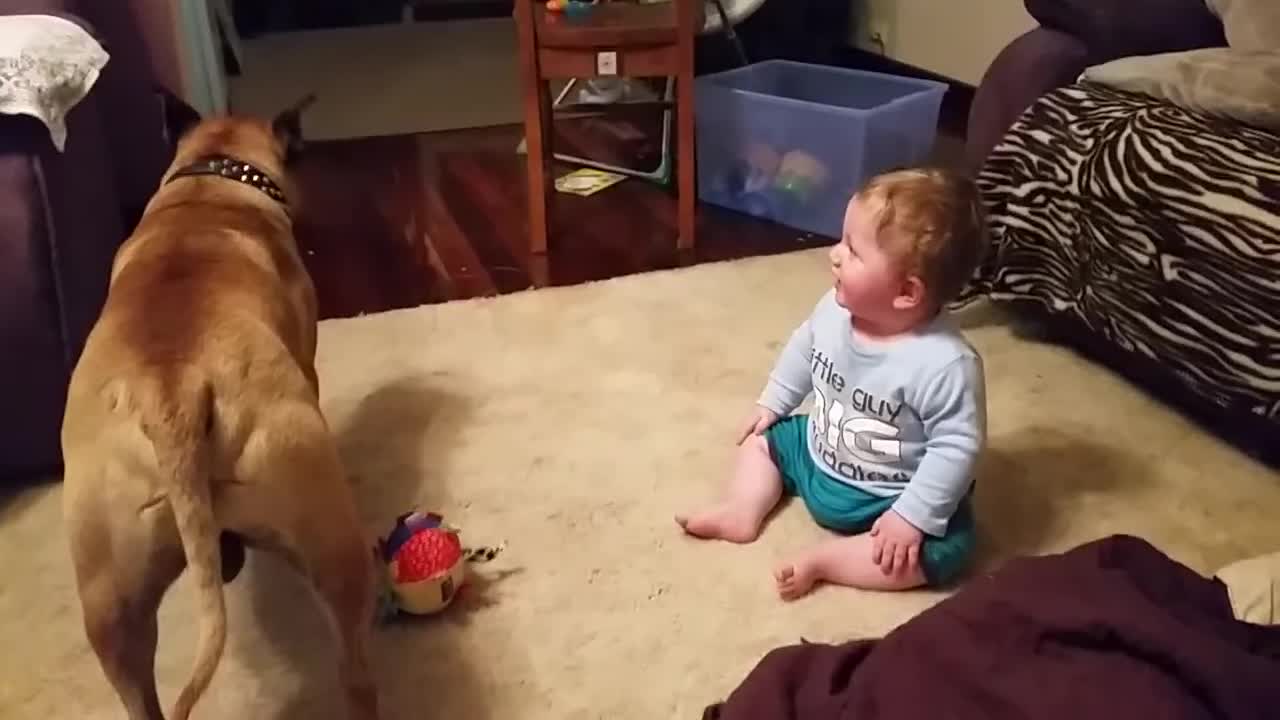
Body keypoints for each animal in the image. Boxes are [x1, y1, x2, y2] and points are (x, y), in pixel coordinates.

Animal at [61, 99, 378, 717]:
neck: (209, 183)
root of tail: (173, 389)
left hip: (110, 599)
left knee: (137, 691)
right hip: (331, 540)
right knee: (353, 669)